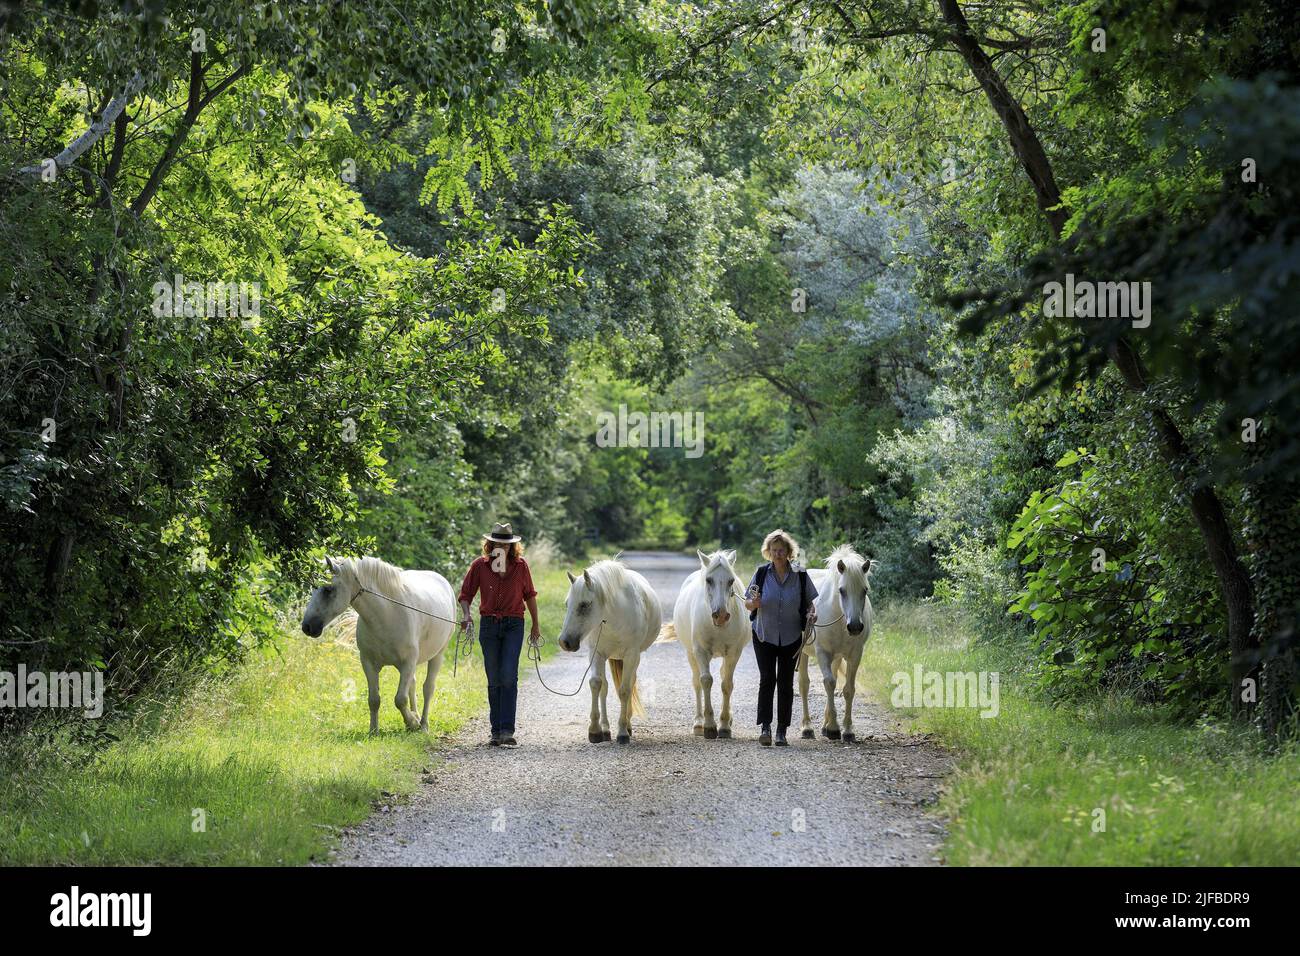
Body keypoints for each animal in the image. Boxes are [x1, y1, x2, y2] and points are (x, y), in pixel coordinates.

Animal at [299, 556, 457, 738]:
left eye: (327, 589)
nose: (307, 627)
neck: (387, 615)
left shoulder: (408, 663)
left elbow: (399, 699)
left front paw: (412, 723)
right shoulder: (369, 663)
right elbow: (374, 699)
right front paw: (374, 731)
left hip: (437, 655)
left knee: (428, 688)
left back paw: (423, 724)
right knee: (413, 684)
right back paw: (416, 716)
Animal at [556, 561, 660, 749]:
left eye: (584, 605)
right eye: (567, 604)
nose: (564, 642)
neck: (613, 618)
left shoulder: (631, 655)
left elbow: (624, 690)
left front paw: (623, 732)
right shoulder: (596, 653)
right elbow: (596, 684)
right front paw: (595, 730)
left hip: (633, 659)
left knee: (630, 684)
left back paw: (627, 725)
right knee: (604, 687)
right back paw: (605, 728)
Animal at [665, 548, 748, 738]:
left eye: (731, 580)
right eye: (709, 580)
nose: (721, 616)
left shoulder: (733, 652)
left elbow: (727, 684)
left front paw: (724, 725)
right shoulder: (700, 651)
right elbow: (706, 681)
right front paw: (709, 726)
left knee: (724, 676)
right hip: (691, 653)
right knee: (696, 682)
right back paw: (698, 723)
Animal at [795, 548, 878, 743]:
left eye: (865, 590)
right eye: (842, 590)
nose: (854, 626)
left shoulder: (855, 655)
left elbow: (848, 689)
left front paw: (846, 730)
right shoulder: (822, 653)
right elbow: (829, 683)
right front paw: (833, 728)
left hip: (837, 657)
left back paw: (824, 726)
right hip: (804, 653)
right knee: (804, 685)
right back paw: (807, 728)